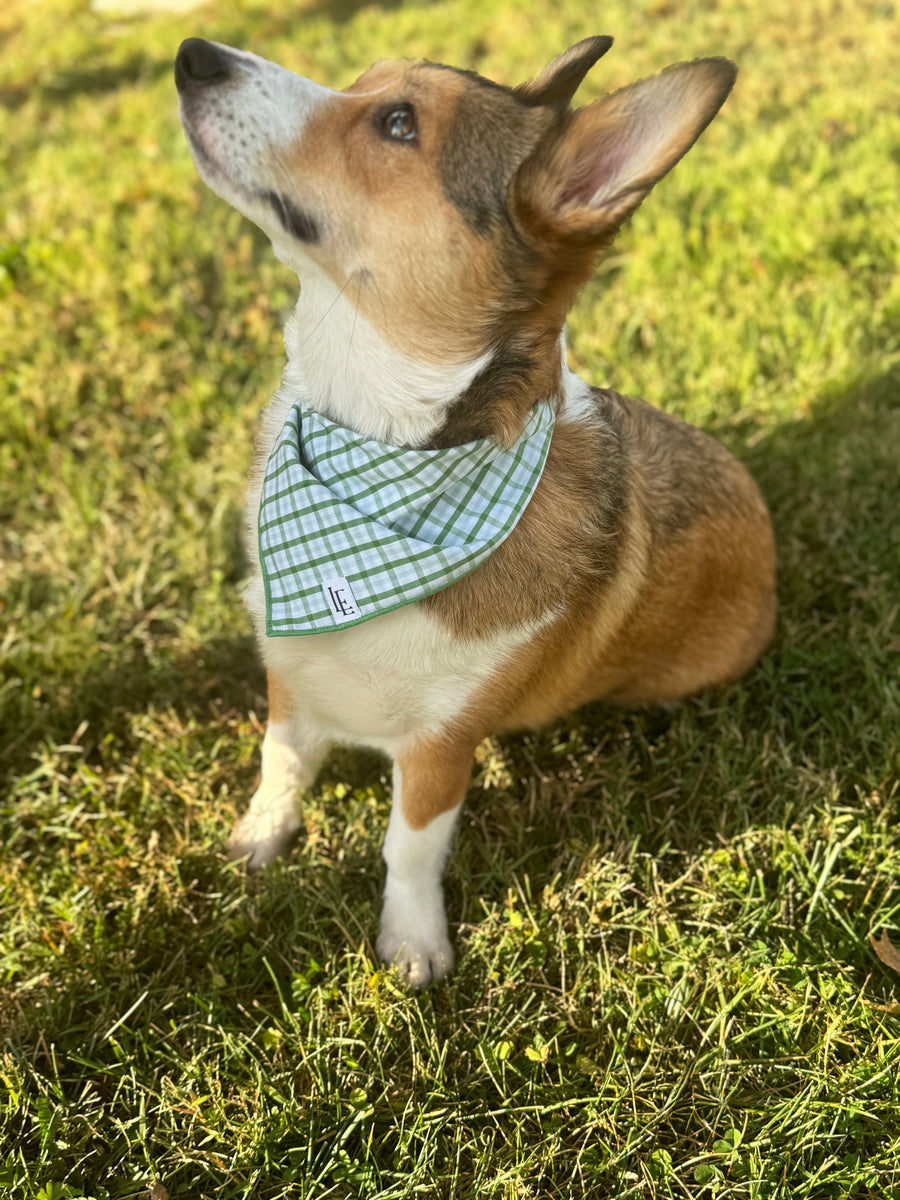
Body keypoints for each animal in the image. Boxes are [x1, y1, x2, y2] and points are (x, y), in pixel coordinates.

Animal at [174, 35, 777, 984]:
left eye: (398, 123)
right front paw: (261, 837)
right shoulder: (290, 677)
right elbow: (280, 762)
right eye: (364, 82)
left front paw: (412, 943)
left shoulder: (439, 748)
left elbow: (411, 846)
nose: (195, 53)